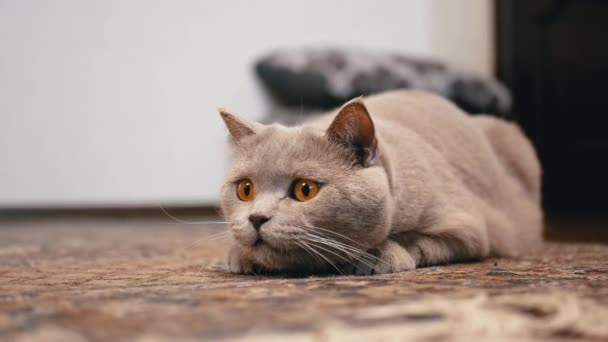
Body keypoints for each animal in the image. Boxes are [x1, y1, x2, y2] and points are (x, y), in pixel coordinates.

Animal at [217, 89, 540, 276]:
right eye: (245, 189)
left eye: (305, 190)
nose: (257, 218)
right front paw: (239, 255)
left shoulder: (468, 228)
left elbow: (412, 238)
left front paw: (377, 257)